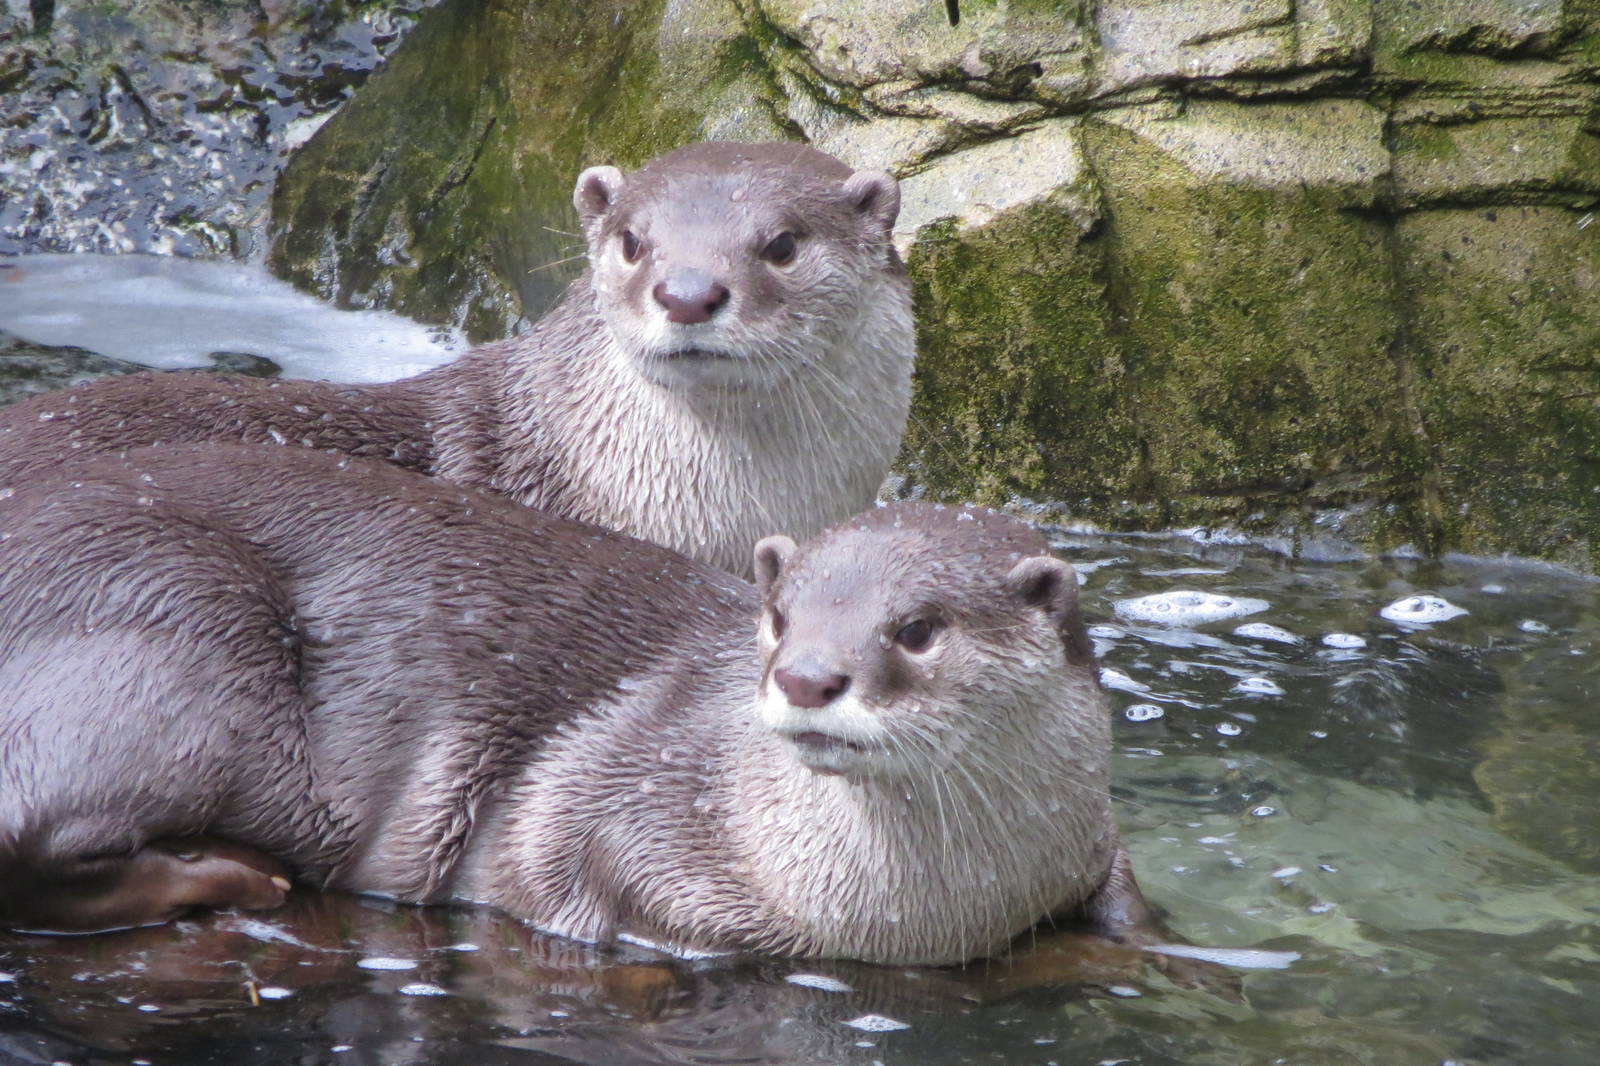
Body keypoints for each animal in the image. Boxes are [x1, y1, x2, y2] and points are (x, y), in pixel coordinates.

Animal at [0, 445, 1154, 965]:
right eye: (780, 615)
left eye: (916, 628)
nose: (806, 676)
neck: (931, 915)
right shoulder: (618, 802)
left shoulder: (1084, 841)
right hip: (183, 627)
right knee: (38, 844)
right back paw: (237, 874)